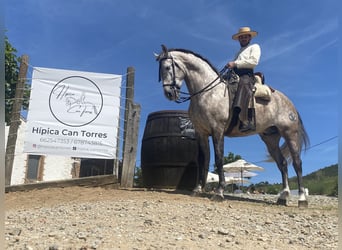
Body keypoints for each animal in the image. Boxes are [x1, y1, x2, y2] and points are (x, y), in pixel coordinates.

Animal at [155, 44, 310, 207]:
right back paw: (283, 196)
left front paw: (219, 192)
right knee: (283, 164)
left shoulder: (217, 130)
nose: (169, 94)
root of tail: (290, 104)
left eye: (167, 67)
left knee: (297, 163)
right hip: (270, 139)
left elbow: (219, 159)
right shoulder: (201, 133)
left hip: (290, 134)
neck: (207, 93)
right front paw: (197, 189)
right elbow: (203, 159)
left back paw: (301, 199)